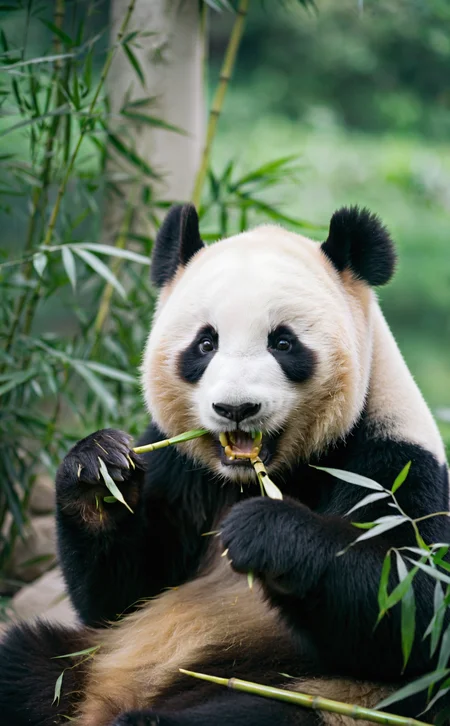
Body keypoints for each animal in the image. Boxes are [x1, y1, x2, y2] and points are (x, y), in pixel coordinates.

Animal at [1, 203, 449, 726]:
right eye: (205, 343)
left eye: (283, 343)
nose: (236, 408)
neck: (258, 476)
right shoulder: (180, 464)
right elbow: (122, 594)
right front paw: (97, 469)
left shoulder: (391, 458)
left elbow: (413, 609)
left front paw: (267, 532)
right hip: (85, 662)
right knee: (24, 663)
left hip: (322, 698)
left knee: (264, 712)